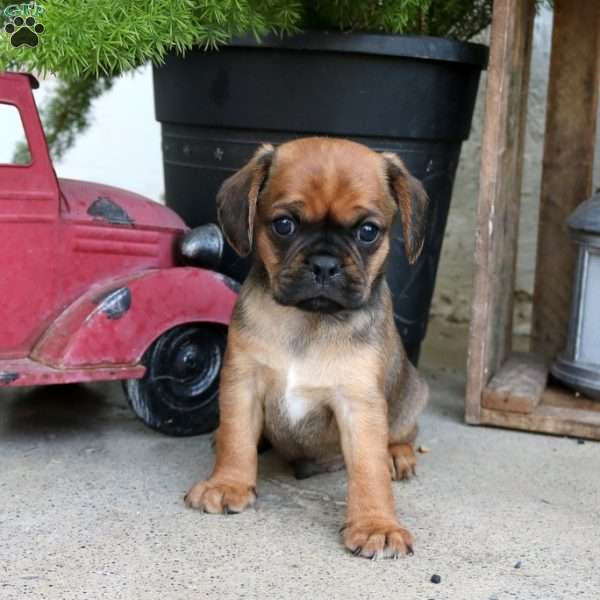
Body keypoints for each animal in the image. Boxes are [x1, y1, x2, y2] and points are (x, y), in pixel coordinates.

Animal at [185, 136, 428, 556]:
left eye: (368, 231)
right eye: (284, 225)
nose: (325, 264)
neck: (307, 321)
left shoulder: (359, 404)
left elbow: (369, 469)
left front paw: (376, 524)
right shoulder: (242, 382)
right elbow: (236, 436)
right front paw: (228, 483)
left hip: (412, 397)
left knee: (403, 435)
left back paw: (398, 455)